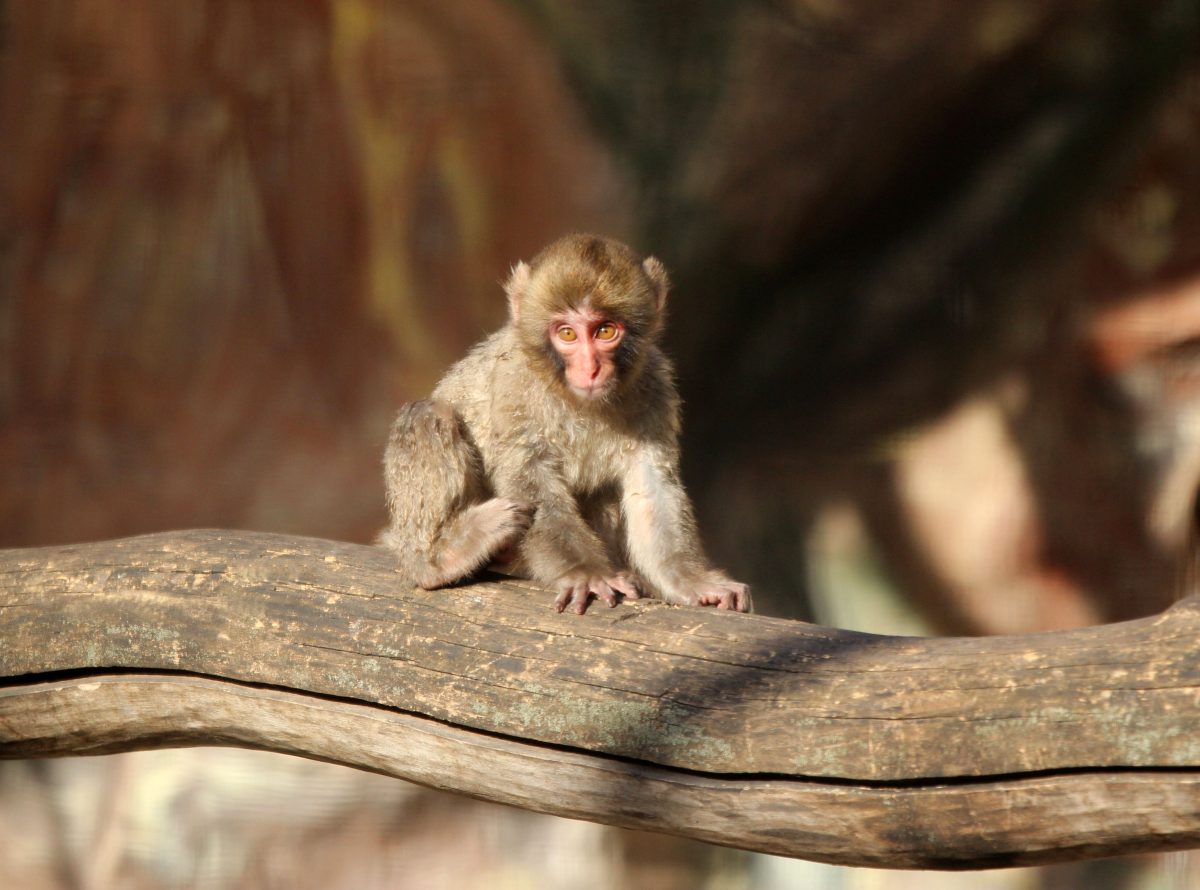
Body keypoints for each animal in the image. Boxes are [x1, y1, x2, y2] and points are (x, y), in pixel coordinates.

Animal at [379, 233, 748, 618]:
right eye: (568, 334)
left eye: (605, 331)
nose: (590, 368)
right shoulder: (515, 383)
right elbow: (530, 481)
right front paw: (585, 572)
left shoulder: (656, 388)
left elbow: (650, 488)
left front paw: (693, 581)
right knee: (426, 415)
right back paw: (439, 561)